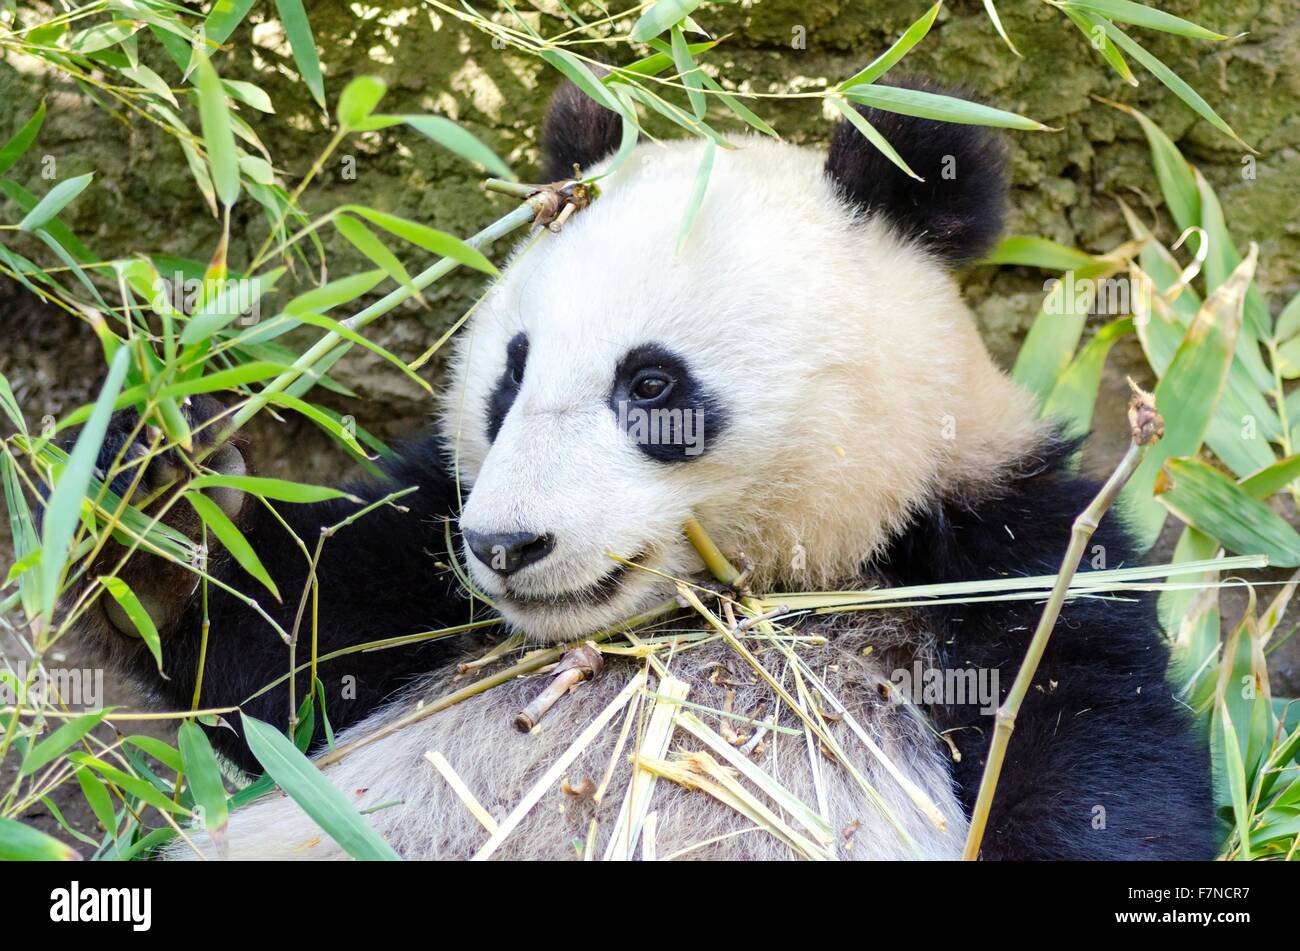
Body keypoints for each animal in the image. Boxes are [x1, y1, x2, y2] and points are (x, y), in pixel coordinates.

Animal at [68, 77, 1215, 861]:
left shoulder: (998, 550)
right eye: (511, 371)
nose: (505, 546)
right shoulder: (426, 549)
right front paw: (160, 512)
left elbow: (1096, 757)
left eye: (652, 385)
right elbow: (280, 653)